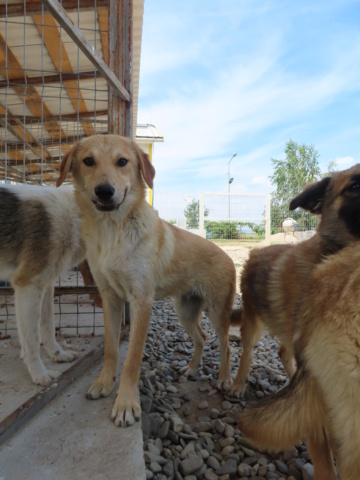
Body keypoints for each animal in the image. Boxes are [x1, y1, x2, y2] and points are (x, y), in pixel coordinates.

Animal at [0, 186, 84, 384]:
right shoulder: (28, 286)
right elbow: (31, 340)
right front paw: (39, 374)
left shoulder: (46, 285)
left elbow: (48, 327)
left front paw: (58, 354)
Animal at [56, 135, 236, 428]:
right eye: (88, 161)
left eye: (122, 161)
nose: (104, 191)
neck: (113, 231)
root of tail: (227, 255)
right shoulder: (110, 298)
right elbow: (110, 349)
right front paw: (105, 383)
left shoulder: (141, 302)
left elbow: (131, 360)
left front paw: (126, 404)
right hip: (186, 310)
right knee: (201, 337)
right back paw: (191, 368)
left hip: (218, 312)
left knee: (225, 345)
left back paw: (225, 379)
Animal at [229, 163, 360, 396]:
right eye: (355, 186)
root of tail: (255, 253)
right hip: (253, 324)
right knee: (248, 353)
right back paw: (238, 384)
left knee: (283, 353)